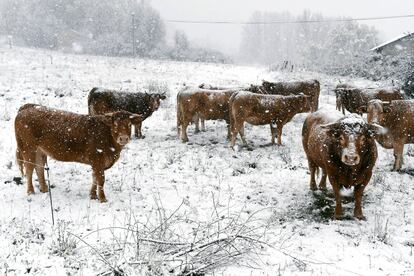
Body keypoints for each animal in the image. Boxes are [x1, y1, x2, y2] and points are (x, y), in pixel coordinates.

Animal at [14, 103, 142, 203]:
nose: (123, 138)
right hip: (28, 148)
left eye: (129, 124)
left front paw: (93, 195)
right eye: (115, 124)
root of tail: (28, 107)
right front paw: (102, 199)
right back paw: (31, 192)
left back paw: (45, 189)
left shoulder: (96, 163)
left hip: (40, 150)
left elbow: (95, 178)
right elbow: (100, 179)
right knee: (29, 169)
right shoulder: (98, 160)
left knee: (39, 167)